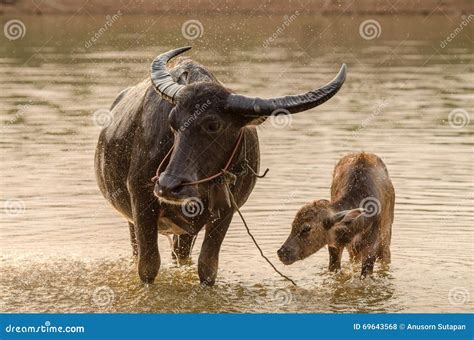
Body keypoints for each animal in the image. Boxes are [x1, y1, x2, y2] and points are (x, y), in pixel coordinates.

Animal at [94, 45, 346, 284]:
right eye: (172, 122)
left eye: (213, 125)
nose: (168, 186)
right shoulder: (141, 201)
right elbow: (148, 266)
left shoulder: (225, 211)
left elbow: (207, 267)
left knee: (180, 254)